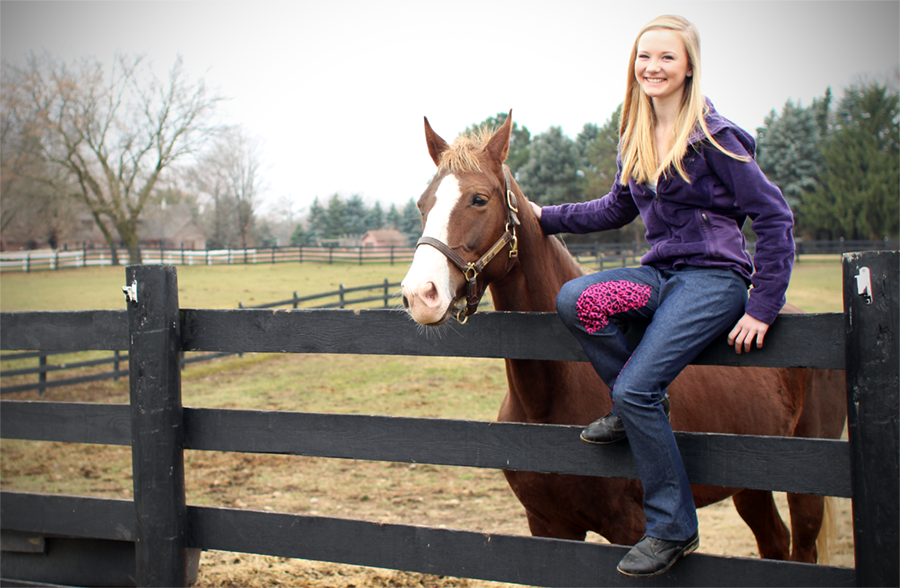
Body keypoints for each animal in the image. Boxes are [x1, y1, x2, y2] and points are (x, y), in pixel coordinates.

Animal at [400, 112, 844, 564]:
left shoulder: (629, 530)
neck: (548, 402)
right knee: (773, 540)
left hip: (806, 486)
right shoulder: (548, 527)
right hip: (750, 485)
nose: (420, 294)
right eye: (423, 204)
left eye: (479, 199)